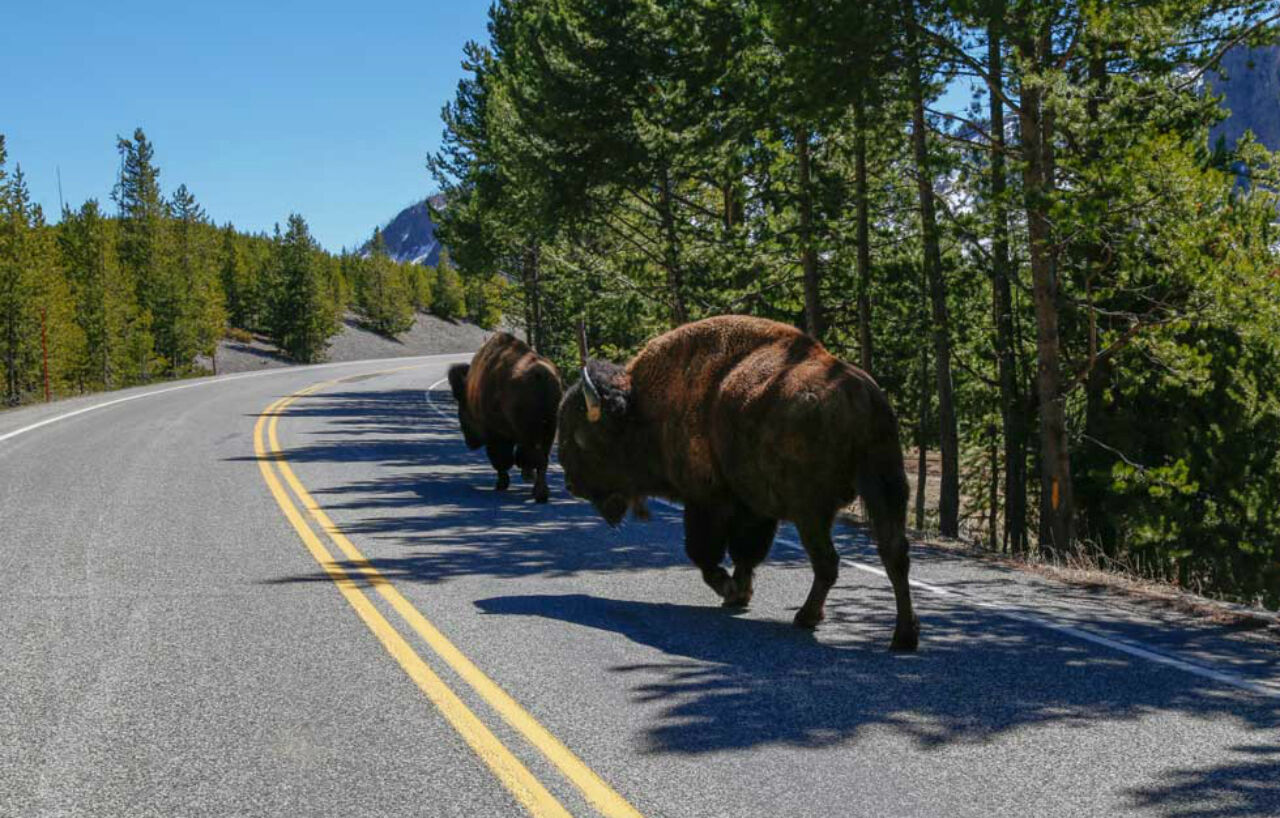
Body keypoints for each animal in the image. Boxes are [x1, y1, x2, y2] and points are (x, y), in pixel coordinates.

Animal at [448, 335, 563, 506]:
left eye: (462, 408)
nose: (469, 442)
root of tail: (541, 375)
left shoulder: (496, 435)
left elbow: (501, 460)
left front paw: (501, 483)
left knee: (533, 457)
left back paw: (539, 492)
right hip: (549, 429)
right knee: (541, 459)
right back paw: (540, 492)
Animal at [560, 314, 921, 652]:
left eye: (581, 437)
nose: (570, 484)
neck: (646, 407)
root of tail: (858, 397)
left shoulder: (708, 500)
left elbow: (705, 552)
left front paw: (730, 591)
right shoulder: (753, 507)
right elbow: (746, 553)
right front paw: (741, 593)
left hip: (812, 511)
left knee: (828, 561)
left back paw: (806, 617)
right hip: (885, 486)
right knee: (894, 554)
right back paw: (904, 636)